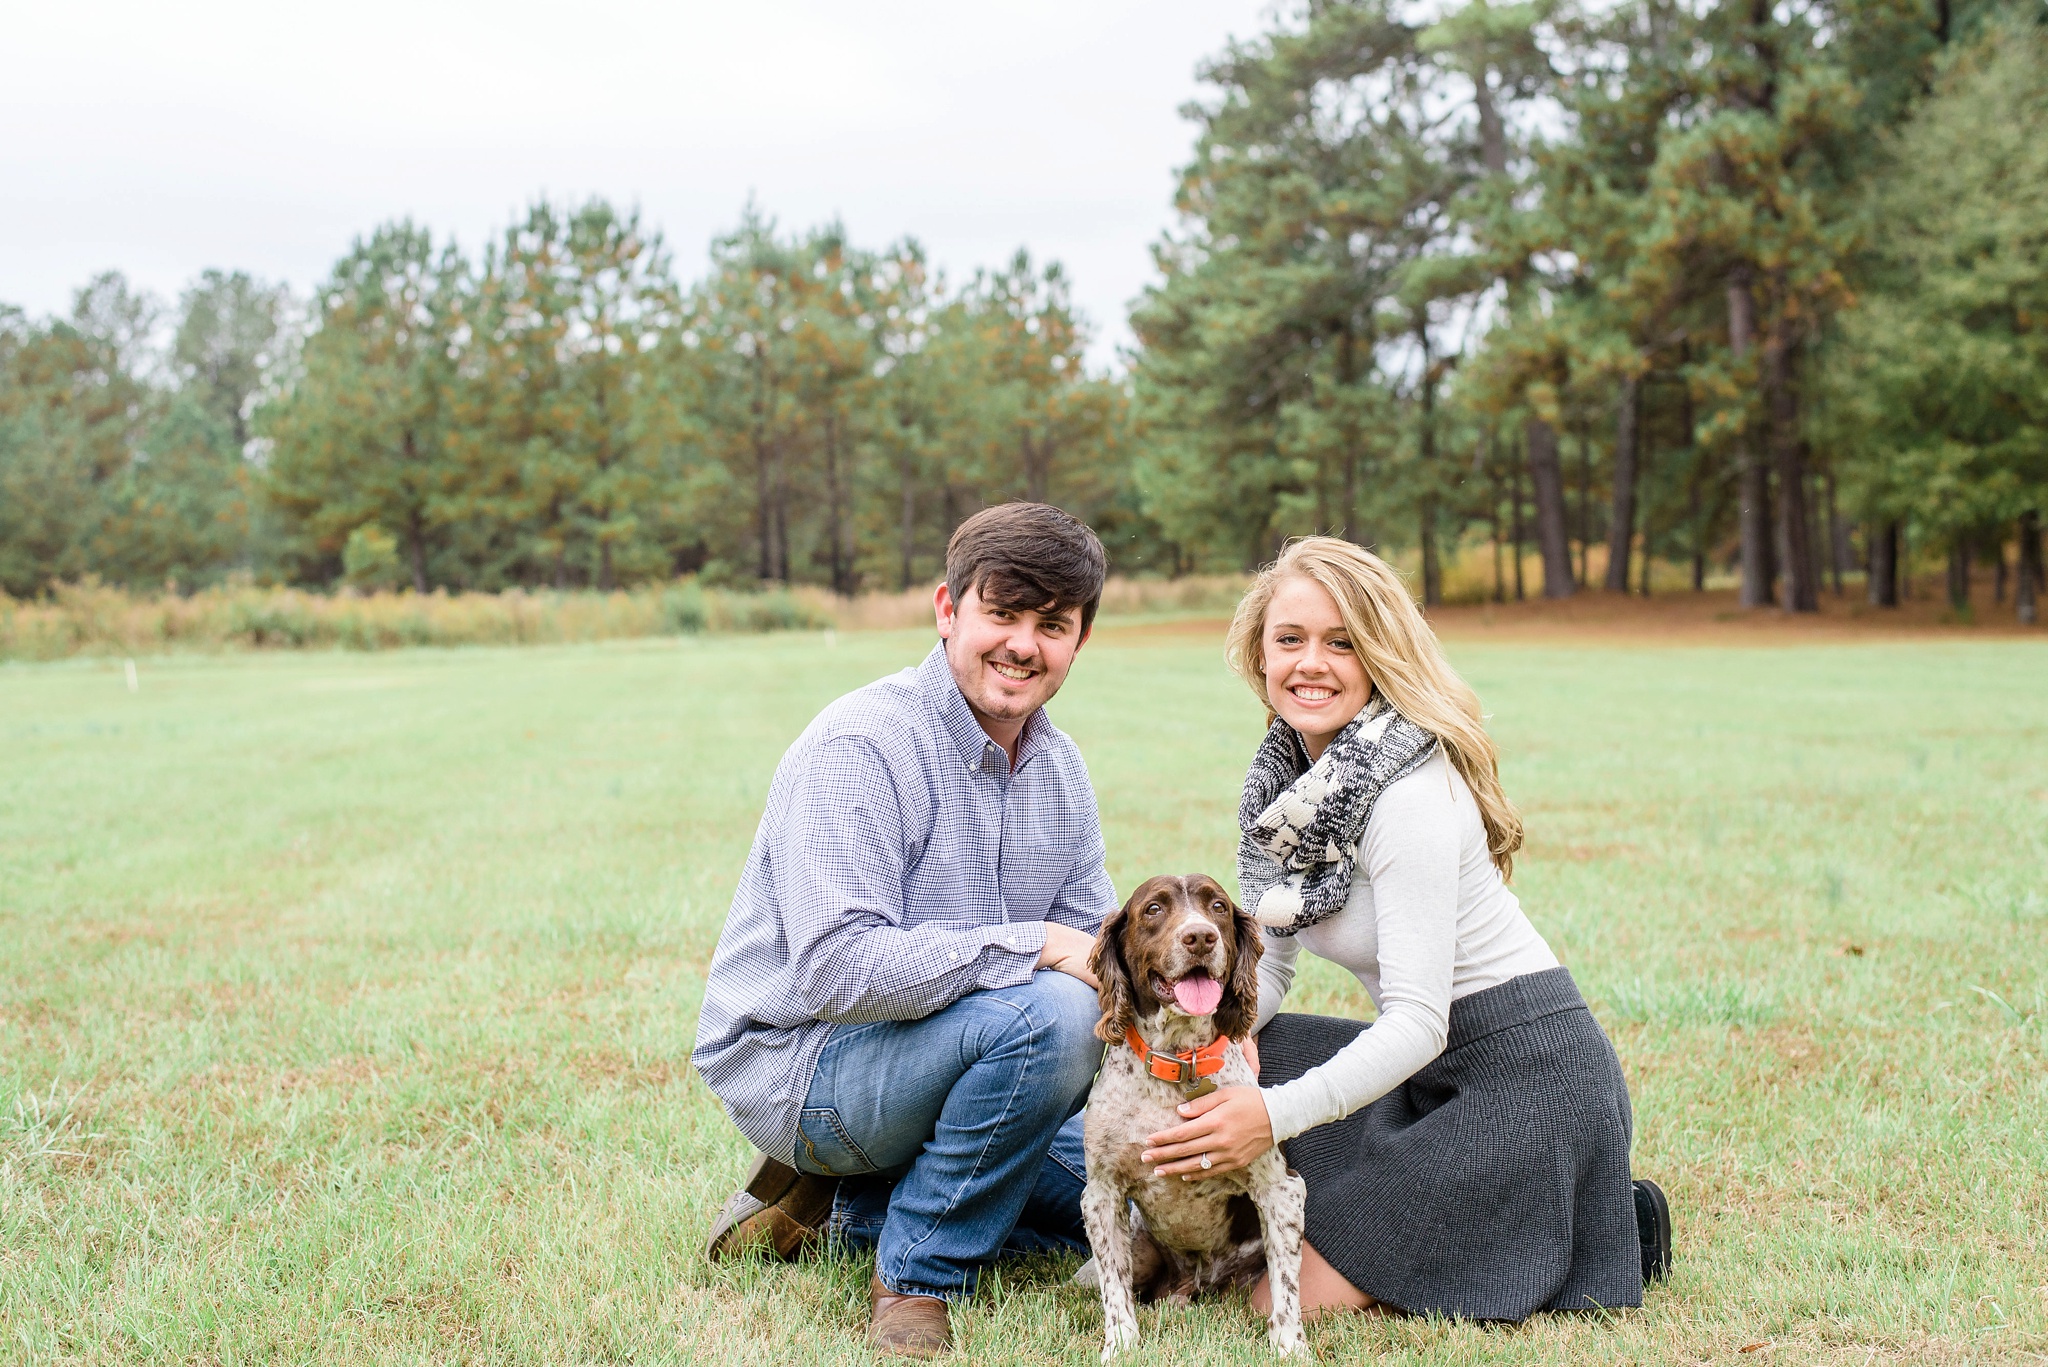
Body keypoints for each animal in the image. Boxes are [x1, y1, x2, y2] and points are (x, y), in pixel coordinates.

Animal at [1081, 877, 1302, 1360]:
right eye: (1153, 909)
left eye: (1217, 906)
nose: (1200, 937)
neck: (1180, 1061)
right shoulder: (1101, 1195)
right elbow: (1114, 1286)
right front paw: (1121, 1344)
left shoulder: (1282, 1191)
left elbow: (1286, 1285)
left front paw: (1290, 1347)